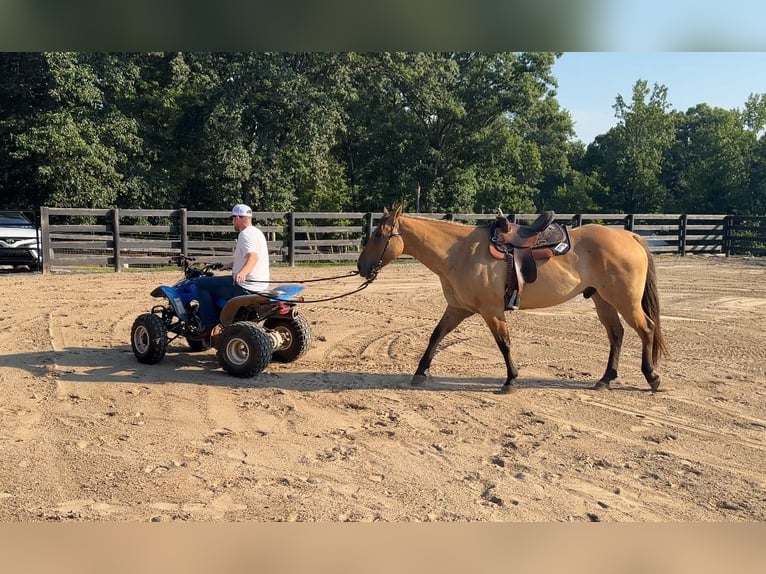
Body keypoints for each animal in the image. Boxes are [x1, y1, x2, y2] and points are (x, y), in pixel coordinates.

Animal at [356, 208, 668, 396]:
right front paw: (420, 371)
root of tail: (630, 235)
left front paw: (511, 380)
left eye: (379, 234)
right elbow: (436, 335)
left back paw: (652, 378)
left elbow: (504, 343)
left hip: (625, 301)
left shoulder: (491, 311)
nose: (361, 267)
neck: (459, 253)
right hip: (603, 300)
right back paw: (606, 378)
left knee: (646, 329)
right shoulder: (459, 308)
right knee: (616, 334)